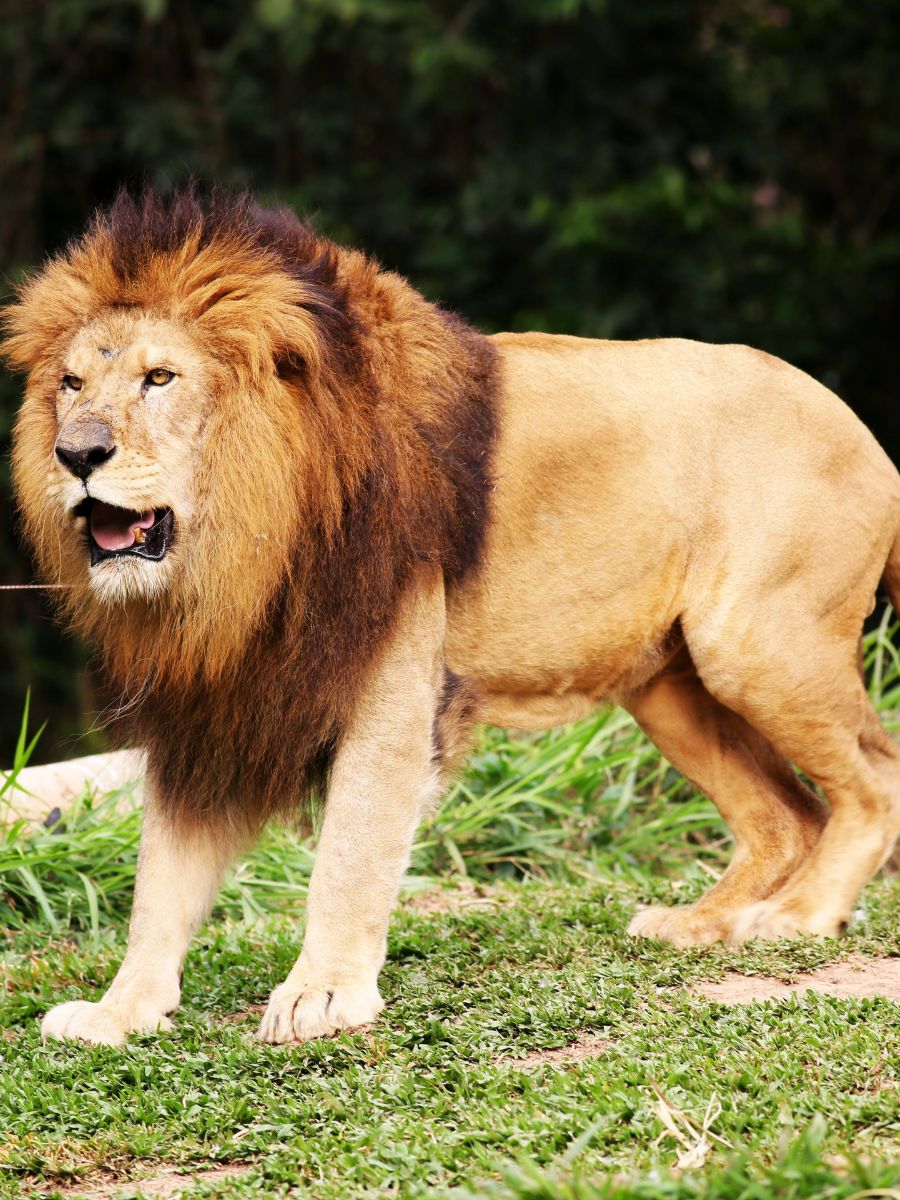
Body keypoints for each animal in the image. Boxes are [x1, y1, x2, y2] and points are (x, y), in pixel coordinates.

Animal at [4, 188, 900, 1047]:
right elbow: (161, 883)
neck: (239, 557)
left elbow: (350, 852)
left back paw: (795, 918)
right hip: (672, 688)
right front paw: (119, 1013)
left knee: (873, 777)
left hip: (756, 644)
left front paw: (320, 994)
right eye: (71, 385)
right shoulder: (210, 706)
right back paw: (701, 923)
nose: (76, 454)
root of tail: (863, 430)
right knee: (787, 816)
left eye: (160, 379)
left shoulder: (390, 685)